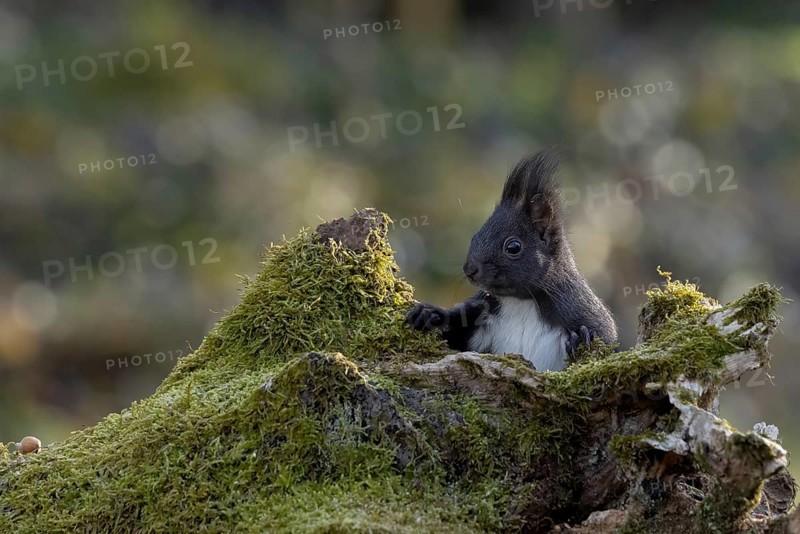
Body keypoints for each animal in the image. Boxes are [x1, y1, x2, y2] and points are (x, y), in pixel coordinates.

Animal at [405, 151, 617, 371]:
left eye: (513, 247)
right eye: (474, 237)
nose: (470, 269)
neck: (522, 301)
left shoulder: (581, 310)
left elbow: (605, 340)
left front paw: (582, 338)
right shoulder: (479, 313)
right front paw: (430, 314)